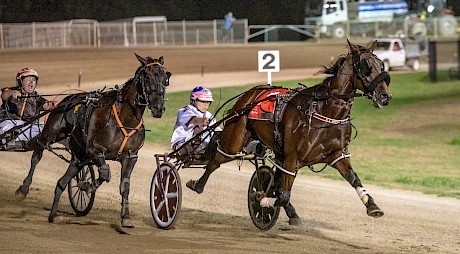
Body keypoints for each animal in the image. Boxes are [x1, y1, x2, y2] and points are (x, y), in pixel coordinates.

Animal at [16, 54, 172, 228]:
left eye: (166, 78)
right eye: (148, 76)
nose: (158, 107)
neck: (125, 119)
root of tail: (67, 98)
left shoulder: (130, 156)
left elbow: (124, 186)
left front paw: (126, 217)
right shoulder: (94, 150)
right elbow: (105, 173)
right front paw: (87, 185)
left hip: (80, 156)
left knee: (62, 181)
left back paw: (53, 214)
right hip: (52, 132)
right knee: (38, 152)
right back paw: (23, 189)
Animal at [187, 39, 392, 224]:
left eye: (381, 64)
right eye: (365, 66)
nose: (385, 96)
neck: (323, 111)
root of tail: (251, 93)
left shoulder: (336, 155)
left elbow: (354, 178)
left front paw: (372, 205)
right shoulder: (292, 157)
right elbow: (282, 195)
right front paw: (262, 199)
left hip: (278, 151)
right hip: (234, 141)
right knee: (215, 161)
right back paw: (197, 185)